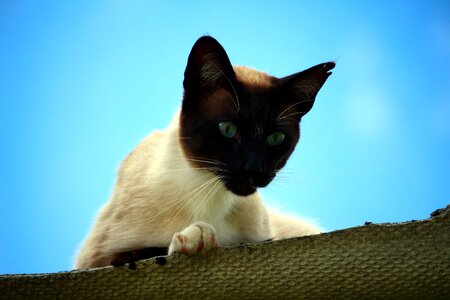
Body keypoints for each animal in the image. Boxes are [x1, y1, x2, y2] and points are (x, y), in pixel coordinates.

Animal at [74, 36, 334, 268]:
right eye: (227, 129)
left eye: (276, 138)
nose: (253, 169)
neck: (209, 196)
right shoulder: (97, 259)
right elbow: (148, 251)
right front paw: (197, 236)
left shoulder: (264, 238)